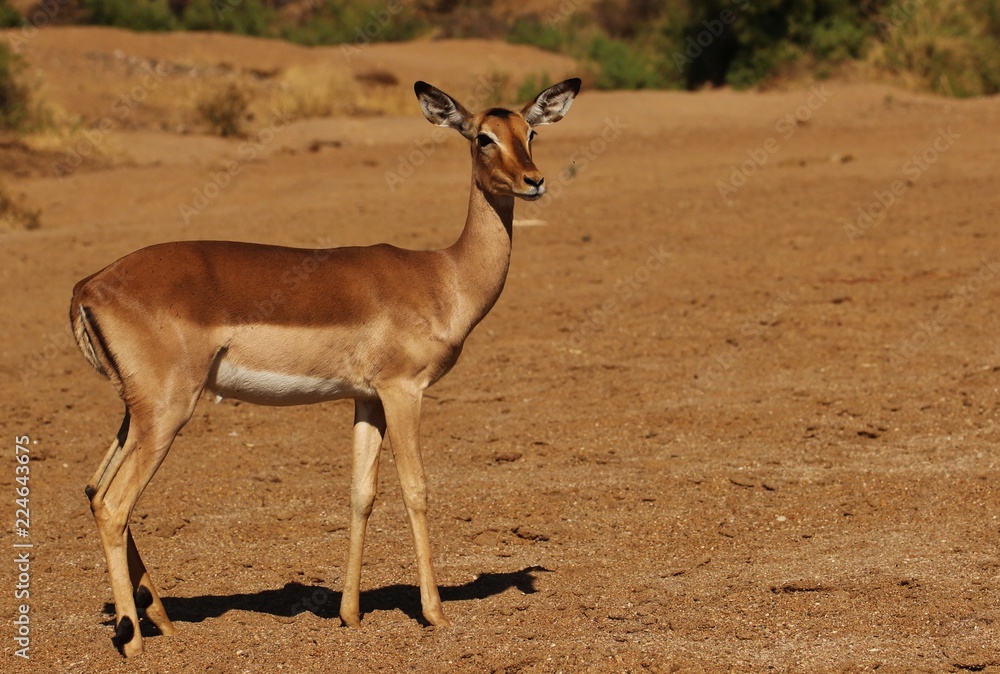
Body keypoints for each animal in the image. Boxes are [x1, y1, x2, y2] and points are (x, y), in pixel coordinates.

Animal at [70, 77, 580, 656]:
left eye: (530, 132)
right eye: (483, 137)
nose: (533, 181)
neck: (443, 276)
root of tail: (89, 285)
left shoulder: (366, 399)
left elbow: (361, 493)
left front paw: (350, 615)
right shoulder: (404, 391)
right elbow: (416, 489)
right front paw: (434, 613)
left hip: (136, 414)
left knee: (94, 489)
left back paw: (162, 621)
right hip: (167, 412)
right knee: (114, 503)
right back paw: (133, 639)